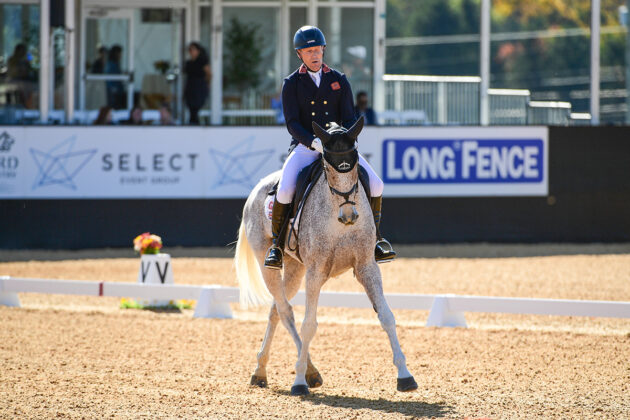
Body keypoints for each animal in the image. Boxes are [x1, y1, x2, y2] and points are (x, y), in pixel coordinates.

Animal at [235, 116, 418, 396]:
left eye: (355, 166)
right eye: (329, 170)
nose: (349, 217)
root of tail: (257, 189)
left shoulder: (367, 266)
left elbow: (387, 317)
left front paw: (405, 376)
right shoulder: (316, 271)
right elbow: (309, 325)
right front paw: (298, 382)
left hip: (295, 268)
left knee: (276, 309)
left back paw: (263, 371)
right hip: (268, 263)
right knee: (286, 311)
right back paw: (303, 372)